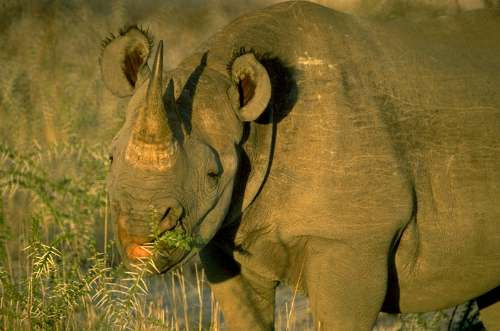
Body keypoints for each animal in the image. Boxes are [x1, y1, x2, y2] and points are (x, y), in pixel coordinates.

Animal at [100, 1, 500, 330]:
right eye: (110, 157)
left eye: (213, 175)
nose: (139, 224)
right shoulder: (222, 238)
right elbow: (246, 315)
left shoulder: (351, 240)